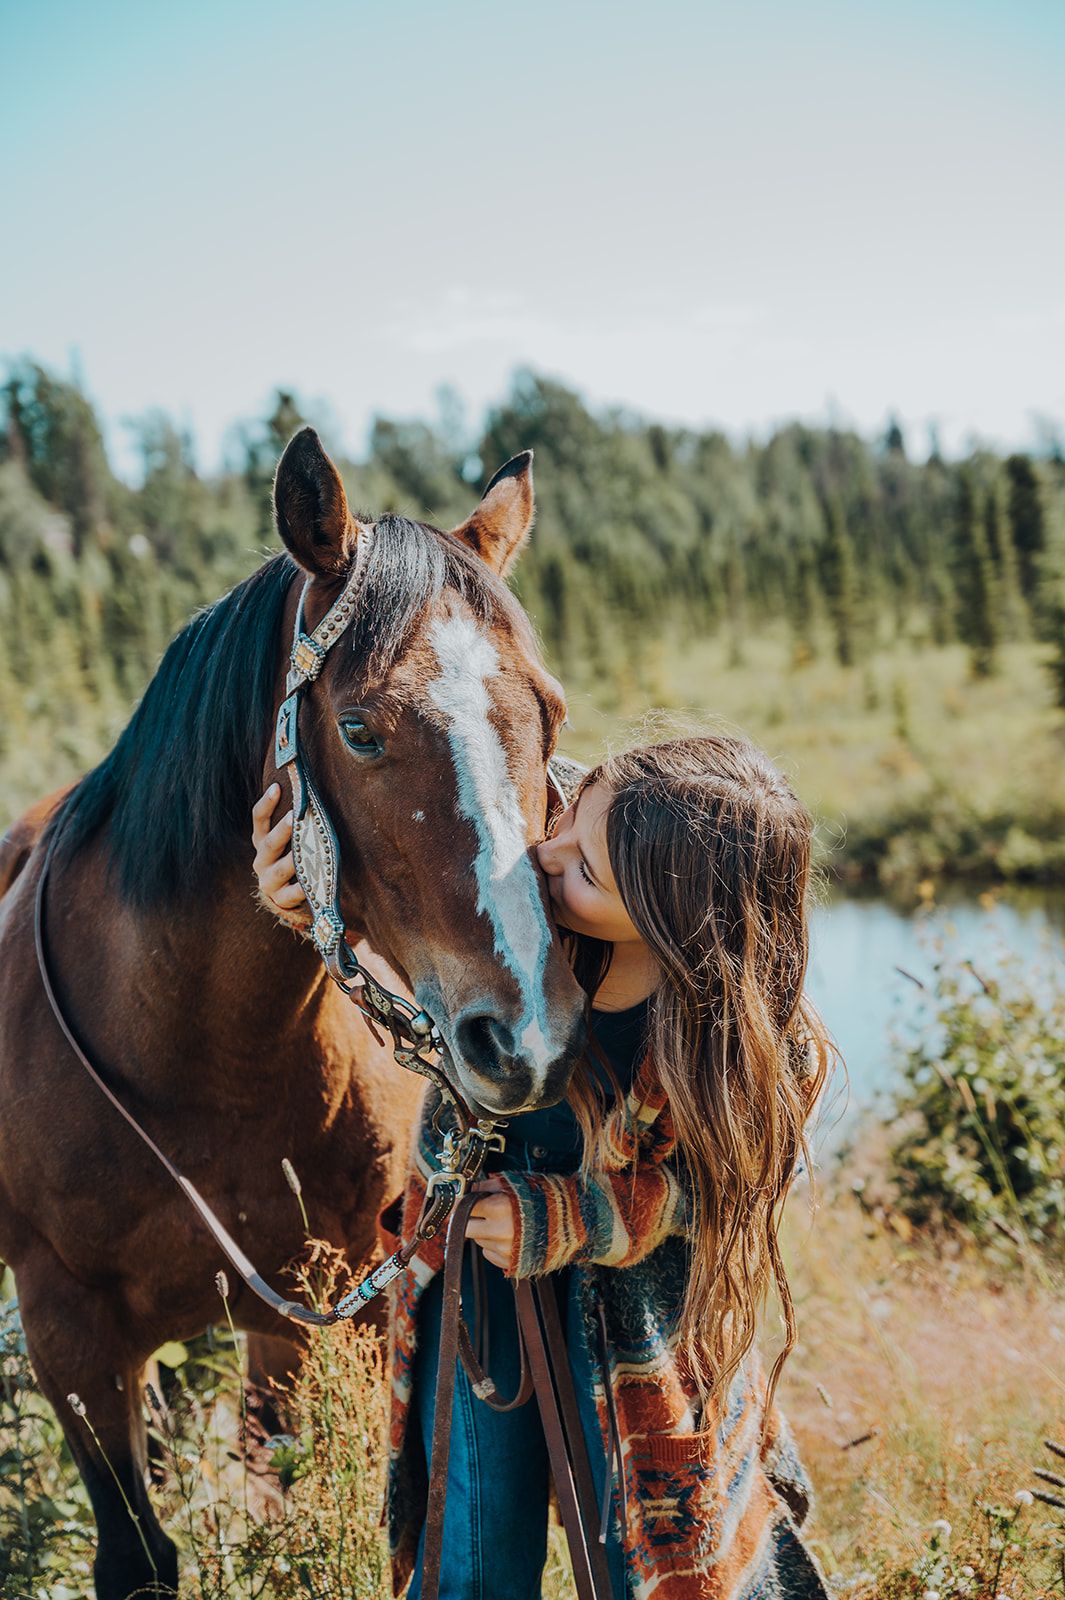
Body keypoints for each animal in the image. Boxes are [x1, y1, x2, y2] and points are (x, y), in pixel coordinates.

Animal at [0, 427, 586, 1600]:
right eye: (357, 729)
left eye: (546, 712)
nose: (526, 1036)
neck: (191, 1060)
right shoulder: (69, 1337)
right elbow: (138, 1552)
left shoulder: (341, 1297)